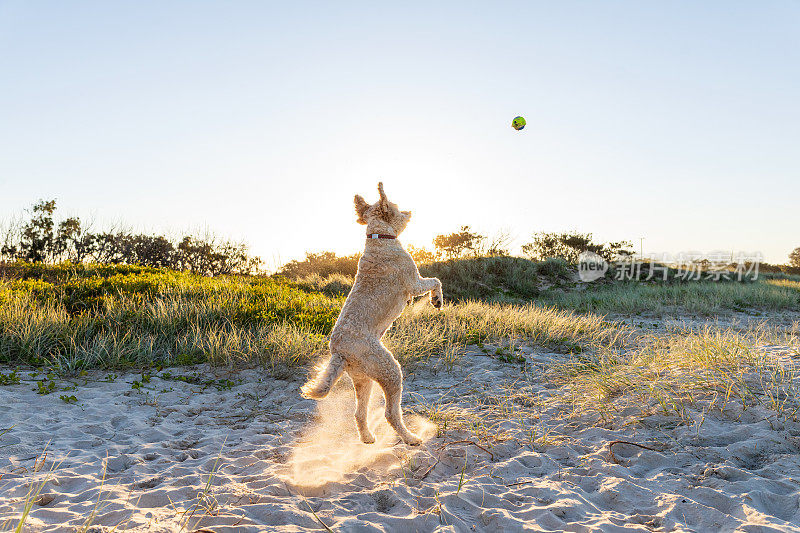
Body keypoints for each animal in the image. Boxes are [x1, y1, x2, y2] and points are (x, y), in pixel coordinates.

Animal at [300, 183, 444, 444]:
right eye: (396, 206)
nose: (409, 211)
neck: (379, 238)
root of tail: (339, 352)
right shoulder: (414, 282)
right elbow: (435, 281)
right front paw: (437, 300)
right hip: (390, 370)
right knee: (390, 413)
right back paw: (410, 438)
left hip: (362, 379)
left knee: (359, 413)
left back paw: (367, 438)